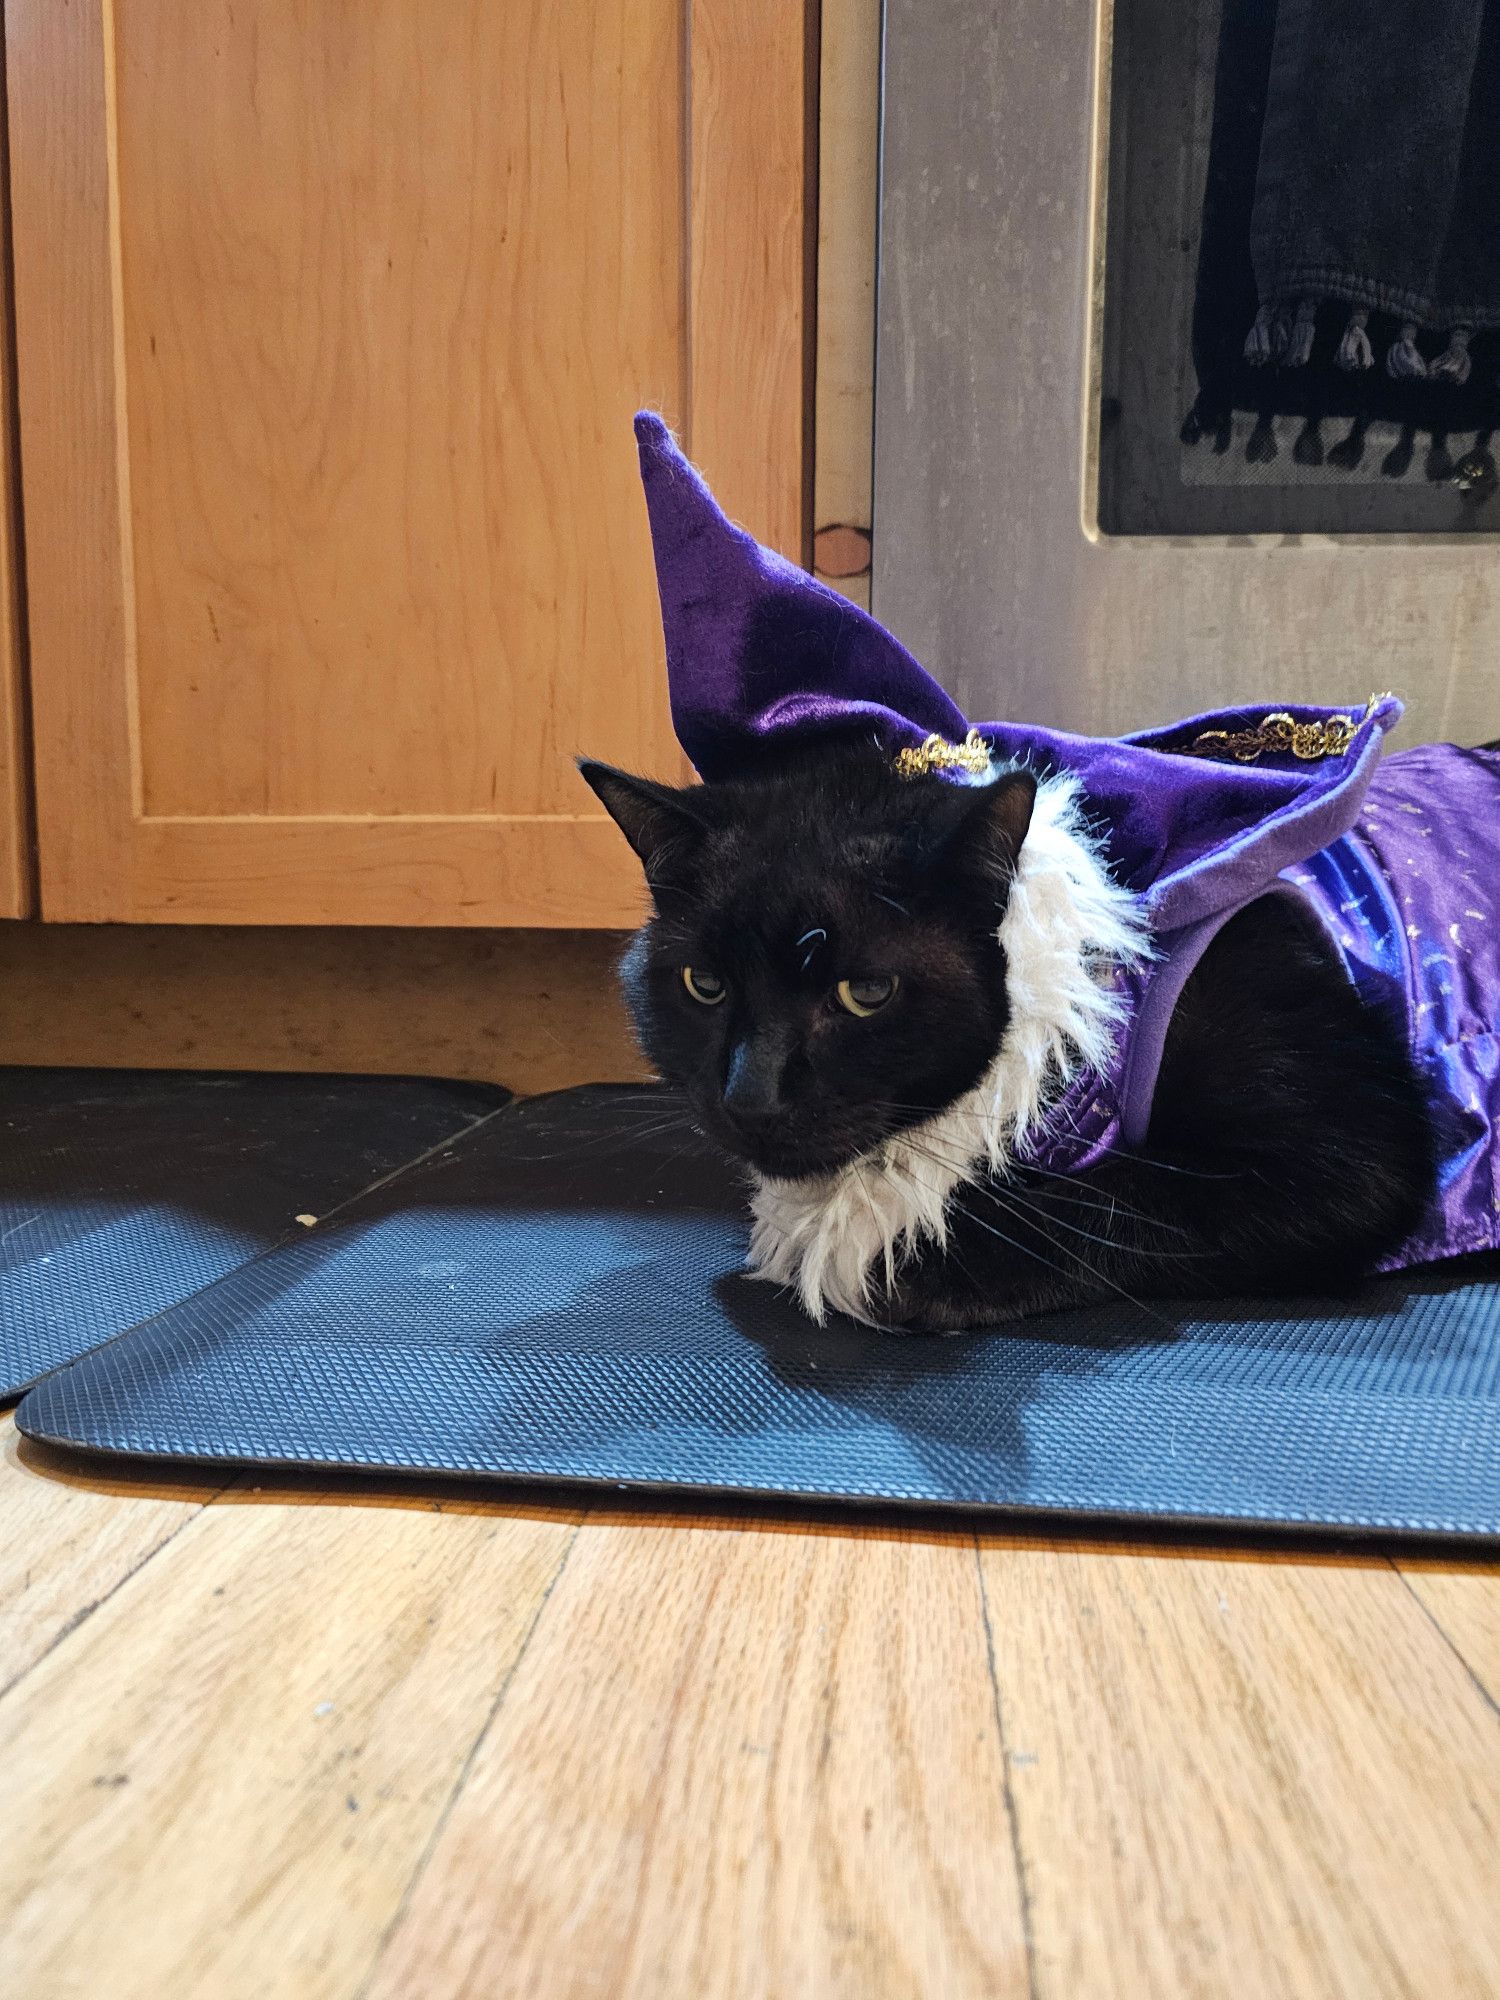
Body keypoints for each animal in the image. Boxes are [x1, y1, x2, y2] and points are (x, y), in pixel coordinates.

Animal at [580, 736, 1440, 1328]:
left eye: (866, 993)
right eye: (705, 985)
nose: (749, 1098)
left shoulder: (1352, 1152)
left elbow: (1131, 1194)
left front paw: (922, 1266)